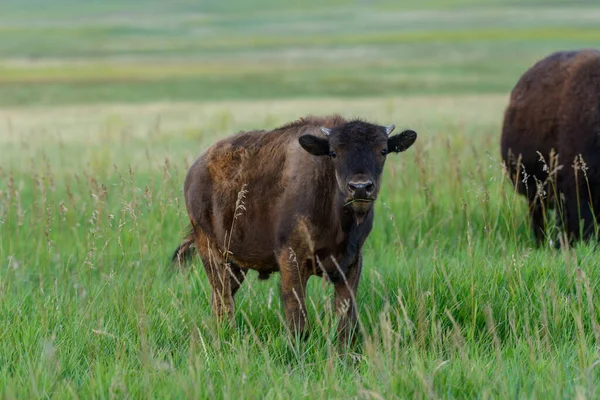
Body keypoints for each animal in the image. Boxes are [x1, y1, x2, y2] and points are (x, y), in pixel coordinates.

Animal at [172, 115, 418, 340]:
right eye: (333, 153)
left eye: (383, 150)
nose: (360, 188)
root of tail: (193, 172)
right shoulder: (291, 261)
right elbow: (298, 318)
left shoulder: (350, 264)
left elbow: (345, 320)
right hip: (212, 253)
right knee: (222, 300)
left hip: (235, 265)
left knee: (220, 298)